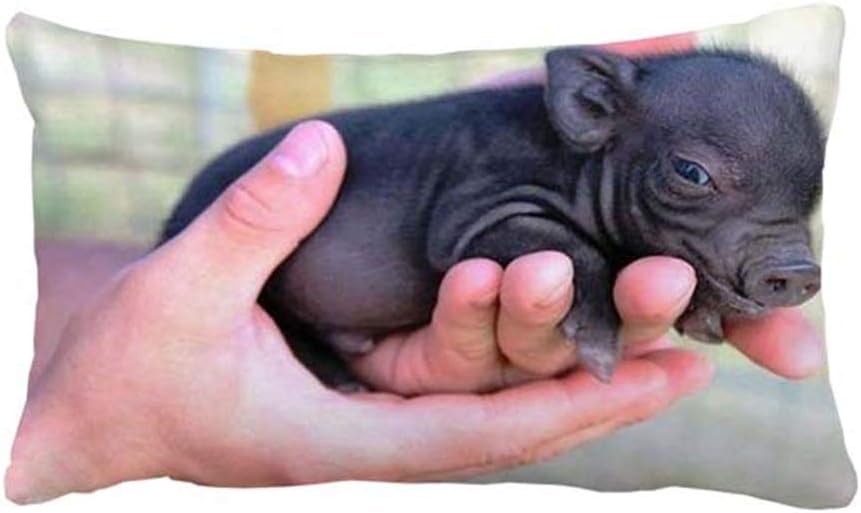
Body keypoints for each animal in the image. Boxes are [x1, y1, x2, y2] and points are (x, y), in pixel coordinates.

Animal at [160, 47, 824, 388]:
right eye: (691, 173)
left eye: (814, 194)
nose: (798, 271)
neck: (576, 168)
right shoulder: (472, 212)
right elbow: (568, 247)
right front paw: (601, 357)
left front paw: (705, 320)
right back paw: (346, 382)